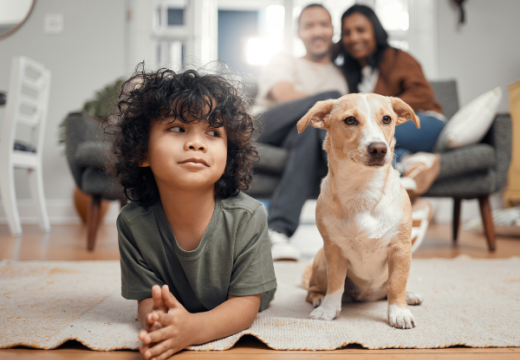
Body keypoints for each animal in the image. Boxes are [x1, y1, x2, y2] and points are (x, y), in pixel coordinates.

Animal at [298, 93, 424, 330]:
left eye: (387, 119)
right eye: (350, 120)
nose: (379, 149)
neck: (362, 190)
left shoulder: (401, 249)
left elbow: (396, 284)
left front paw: (399, 312)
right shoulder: (333, 251)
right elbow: (335, 284)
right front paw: (328, 310)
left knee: (391, 288)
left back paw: (410, 295)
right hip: (320, 261)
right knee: (312, 290)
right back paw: (319, 298)